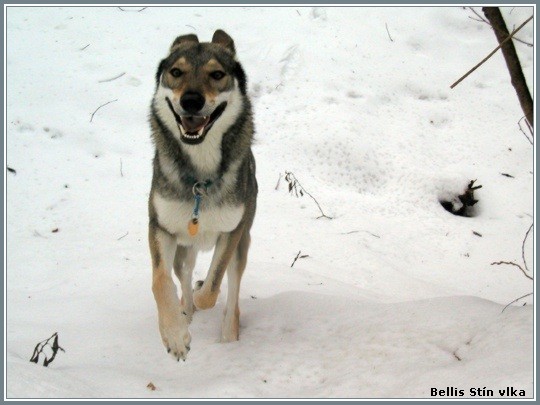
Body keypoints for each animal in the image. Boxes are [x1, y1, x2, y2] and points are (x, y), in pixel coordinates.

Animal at [148, 30, 258, 360]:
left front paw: (202, 294)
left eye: (217, 74)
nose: (191, 101)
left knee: (231, 294)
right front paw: (175, 335)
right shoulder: (160, 226)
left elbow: (212, 287)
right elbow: (160, 282)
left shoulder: (232, 231)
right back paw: (185, 313)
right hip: (183, 248)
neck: (200, 177)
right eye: (176, 72)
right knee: (181, 274)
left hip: (243, 244)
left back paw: (228, 336)